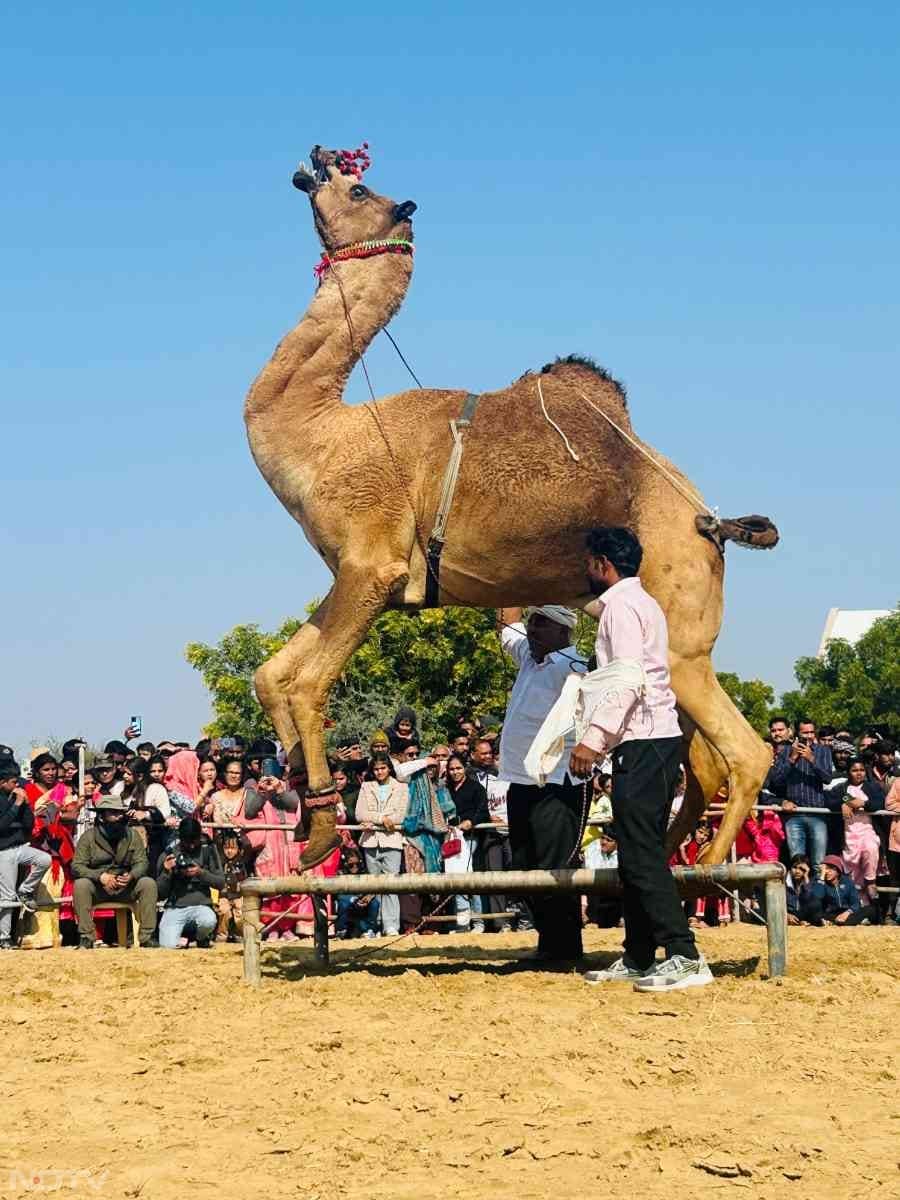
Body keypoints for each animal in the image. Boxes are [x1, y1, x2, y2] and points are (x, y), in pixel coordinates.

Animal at [243, 145, 777, 868]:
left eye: (357, 188)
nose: (318, 158)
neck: (324, 432)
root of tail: (712, 522)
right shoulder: (351, 575)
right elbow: (271, 676)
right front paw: (306, 806)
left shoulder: (373, 564)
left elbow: (306, 685)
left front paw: (322, 828)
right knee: (704, 761)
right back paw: (665, 860)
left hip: (682, 632)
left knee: (747, 753)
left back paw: (712, 865)